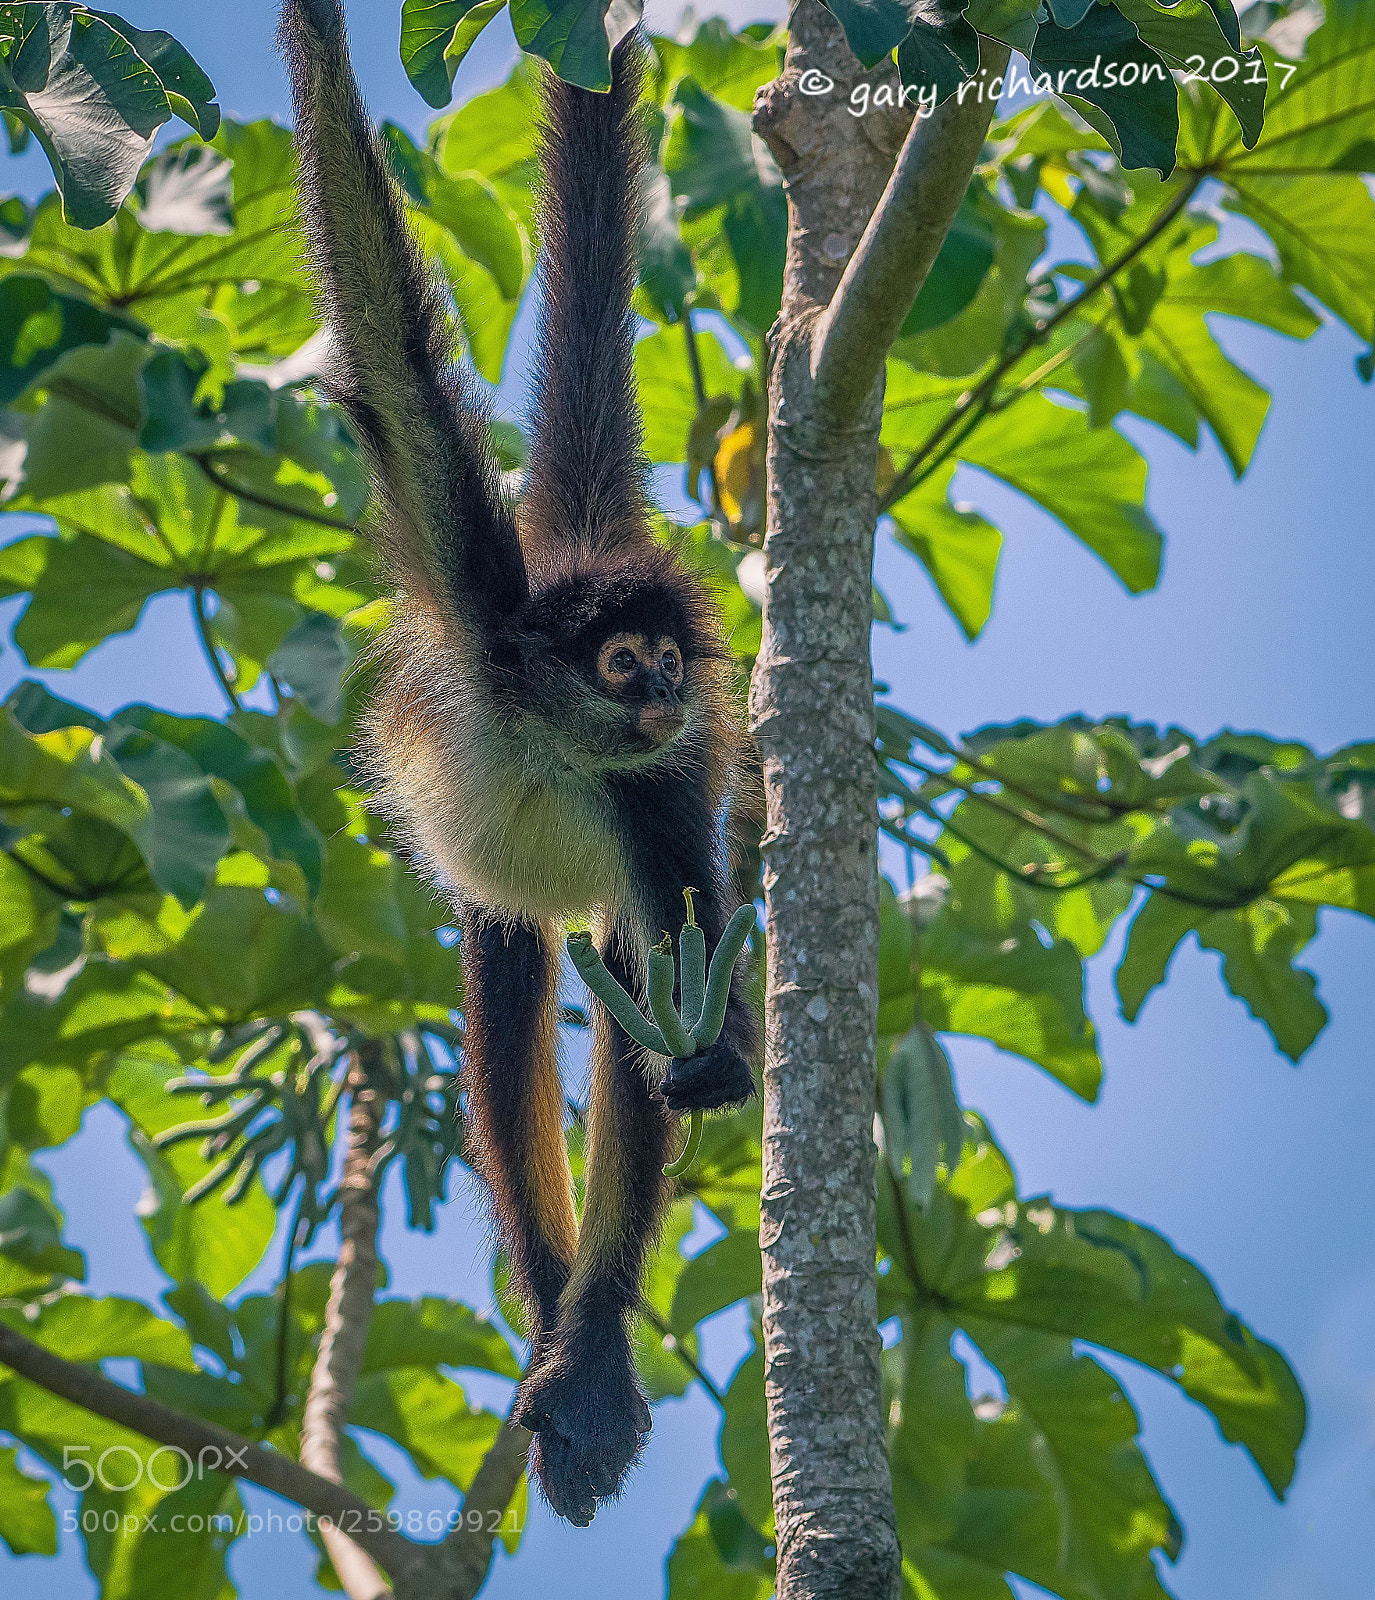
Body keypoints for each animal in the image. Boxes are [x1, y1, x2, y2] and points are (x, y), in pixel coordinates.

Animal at [279, 0, 760, 1526]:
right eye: (624, 663)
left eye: (667, 666)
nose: (667, 687)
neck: (557, 734)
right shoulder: (483, 599)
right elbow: (383, 349)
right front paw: (316, 35)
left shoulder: (659, 790)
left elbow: (687, 994)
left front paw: (710, 1062)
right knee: (504, 978)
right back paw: (558, 1318)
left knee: (618, 982)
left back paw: (590, 1349)